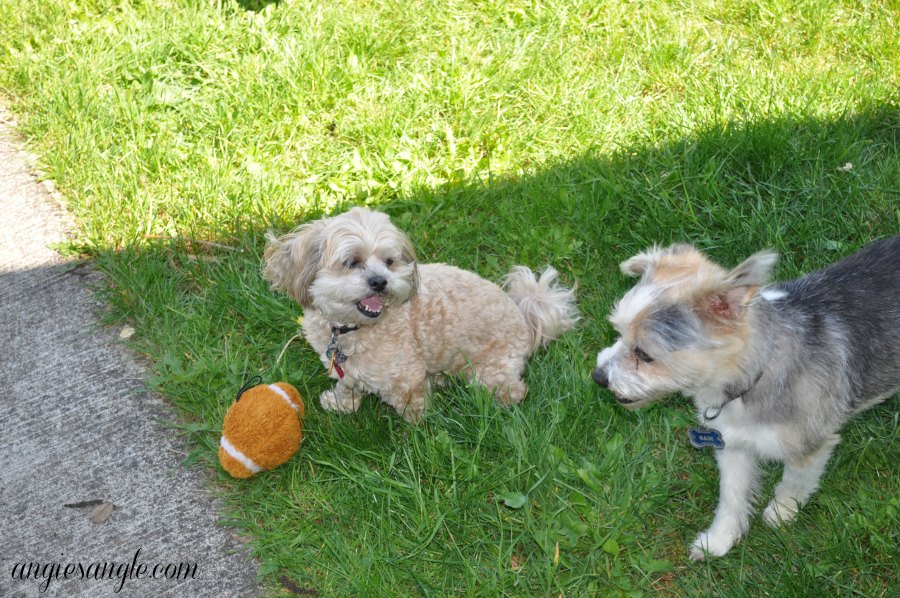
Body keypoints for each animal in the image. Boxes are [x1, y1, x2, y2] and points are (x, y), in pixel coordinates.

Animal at [264, 209, 580, 424]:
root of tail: (525, 316)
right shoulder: (348, 369)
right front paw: (342, 405)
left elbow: (412, 404)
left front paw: (417, 427)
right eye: (351, 262)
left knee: (514, 390)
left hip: (489, 372)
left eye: (389, 261)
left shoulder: (406, 376)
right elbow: (347, 385)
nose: (380, 281)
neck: (352, 329)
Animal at [596, 237, 896, 560]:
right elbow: (731, 495)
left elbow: (793, 482)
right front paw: (719, 540)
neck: (756, 375)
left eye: (644, 354)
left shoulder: (809, 446)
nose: (598, 377)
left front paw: (782, 512)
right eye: (617, 332)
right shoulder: (732, 444)